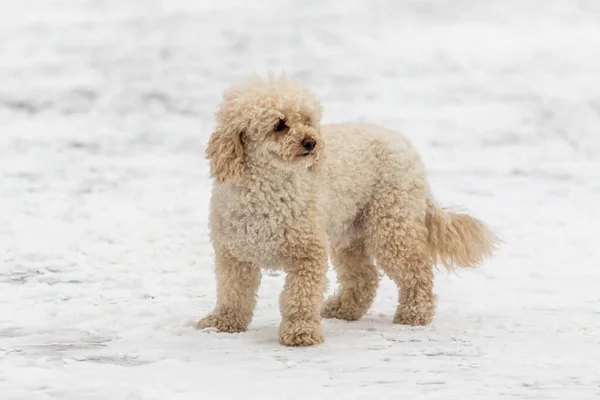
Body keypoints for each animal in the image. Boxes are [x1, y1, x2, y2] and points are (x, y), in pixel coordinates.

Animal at [197, 75, 496, 346]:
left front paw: (301, 332)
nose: (311, 142)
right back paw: (344, 309)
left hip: (391, 225)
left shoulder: (308, 254)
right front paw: (223, 322)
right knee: (365, 277)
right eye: (280, 125)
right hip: (349, 233)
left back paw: (415, 313)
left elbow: (299, 297)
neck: (269, 188)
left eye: (307, 120)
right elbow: (233, 293)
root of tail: (406, 146)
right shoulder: (234, 255)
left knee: (417, 269)